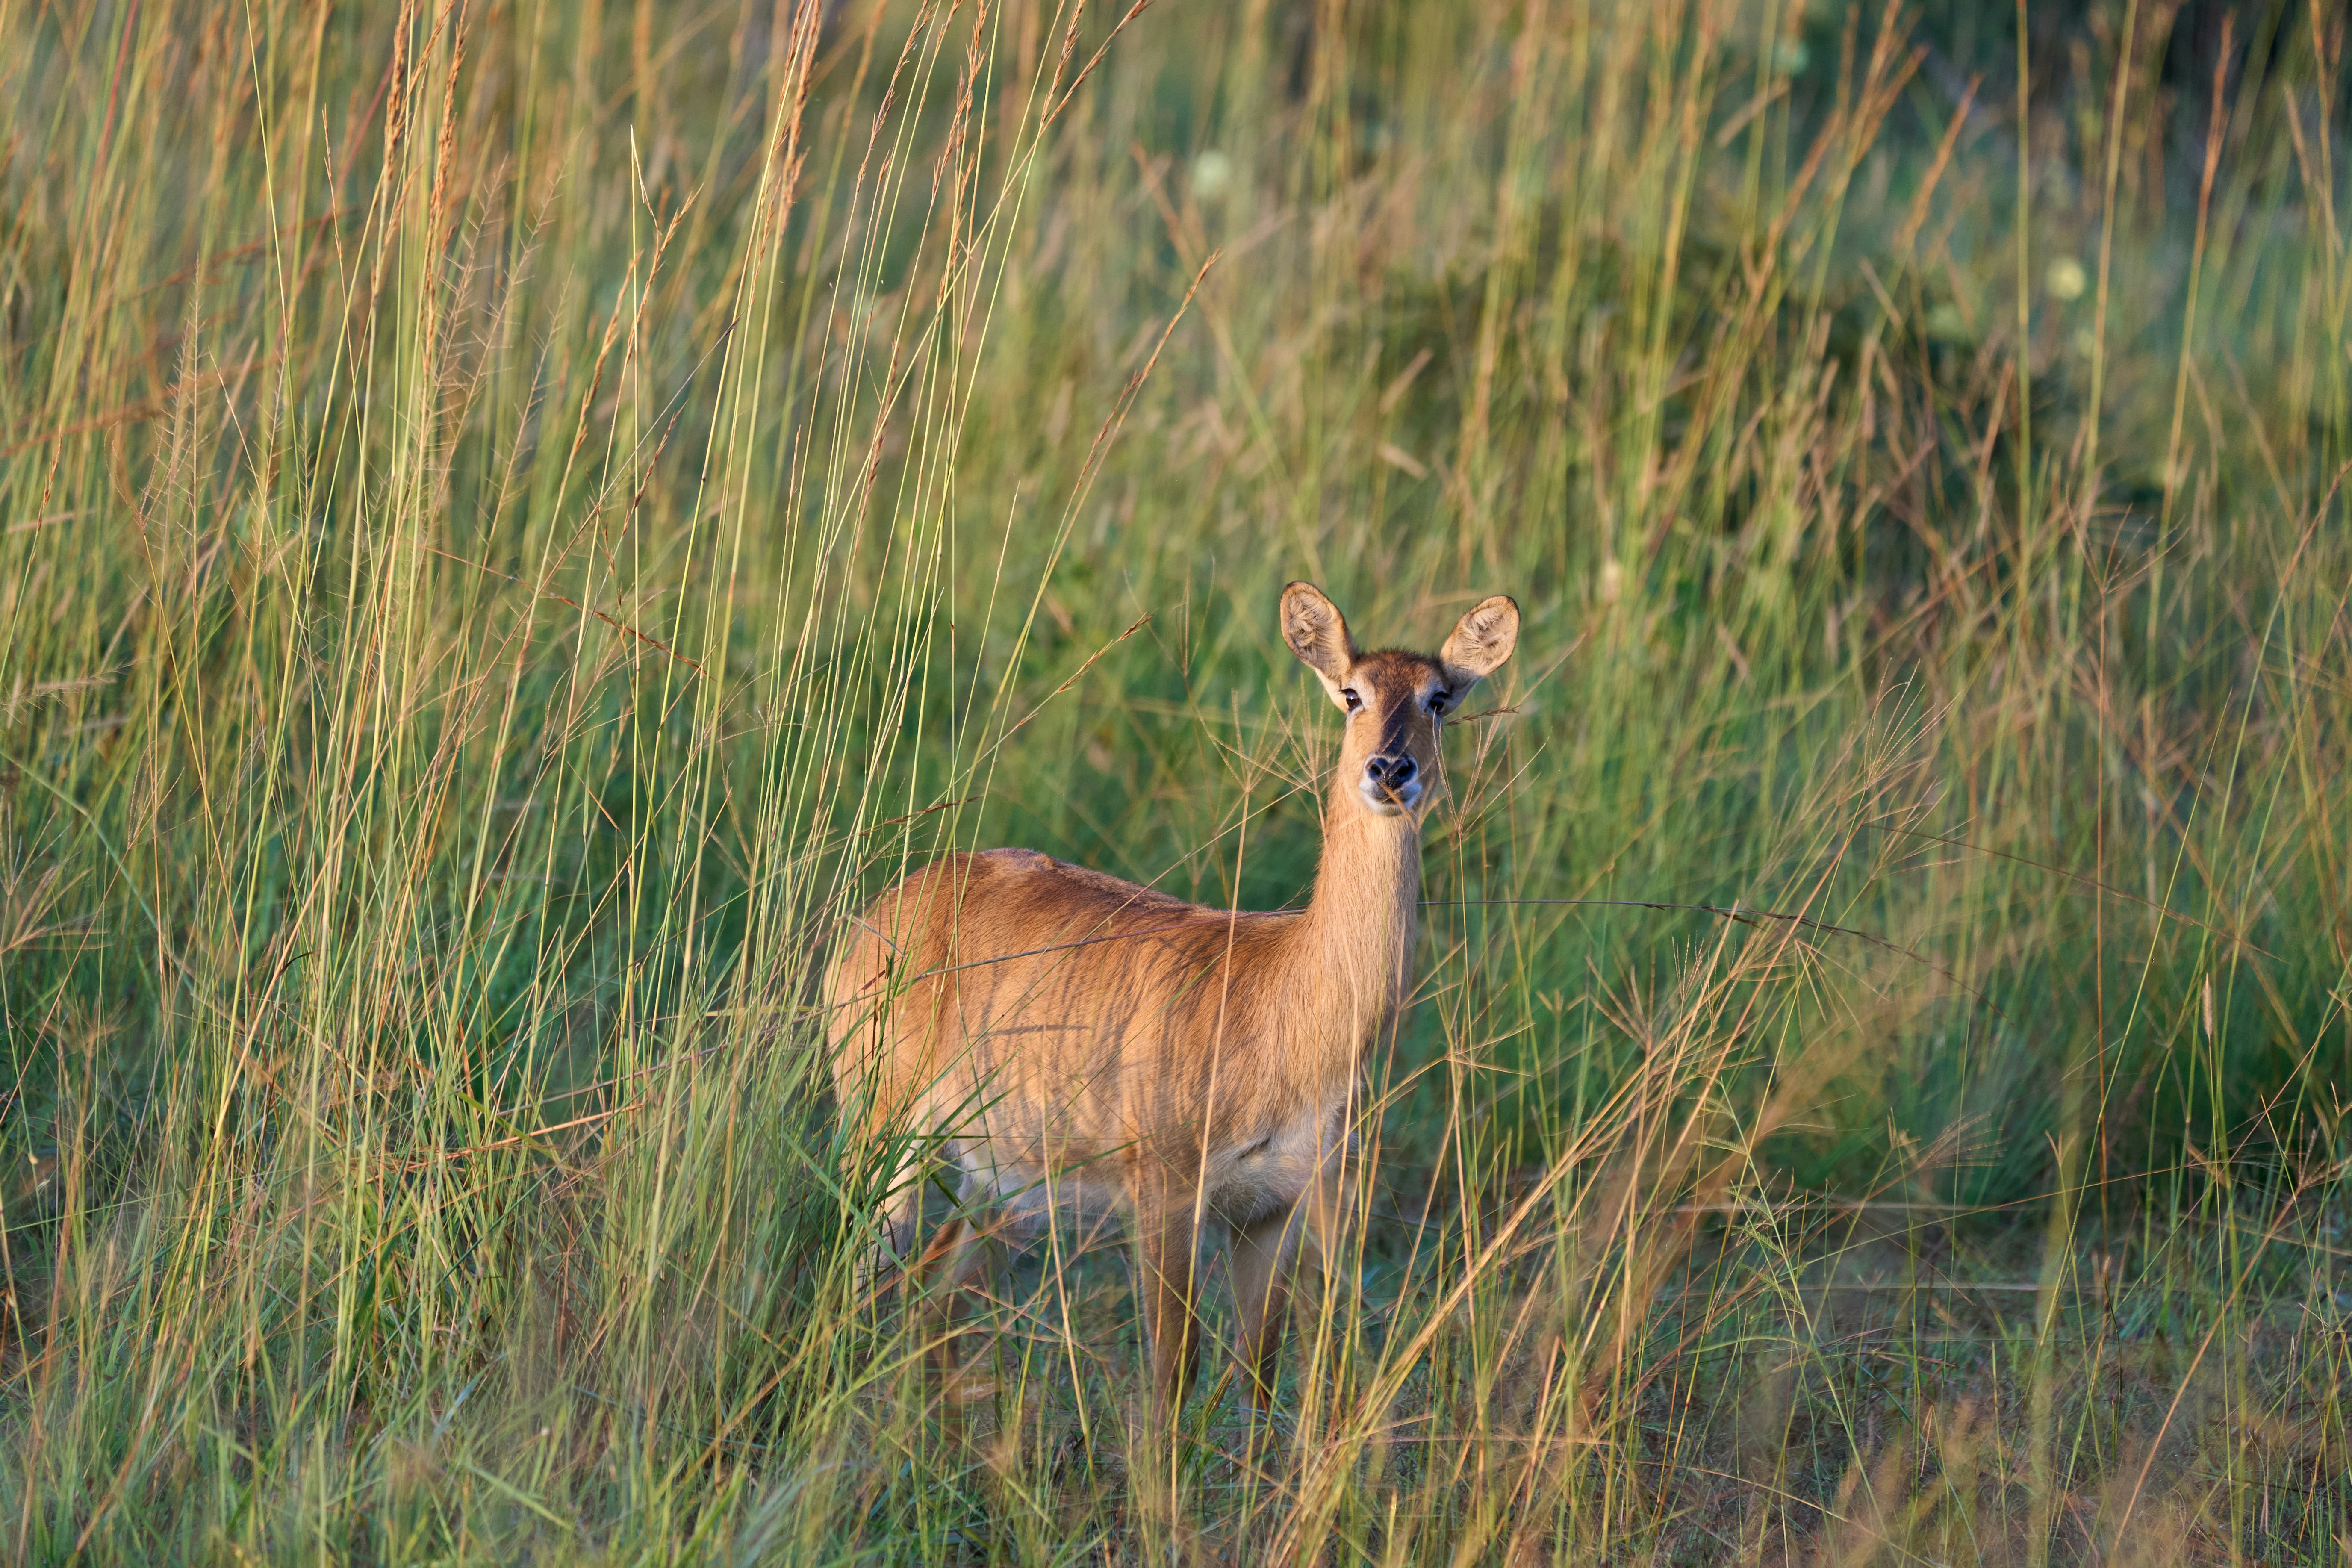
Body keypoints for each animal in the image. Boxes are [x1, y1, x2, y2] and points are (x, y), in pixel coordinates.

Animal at [825, 581, 1520, 1419]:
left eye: (1438, 698)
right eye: (1352, 692)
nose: (1390, 769)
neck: (1283, 998)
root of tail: (885, 907)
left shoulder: (1273, 1209)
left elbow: (1259, 1379)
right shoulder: (1166, 1195)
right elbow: (1171, 1382)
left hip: (1001, 1181)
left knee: (932, 1306)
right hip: (885, 1137)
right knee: (859, 1286)